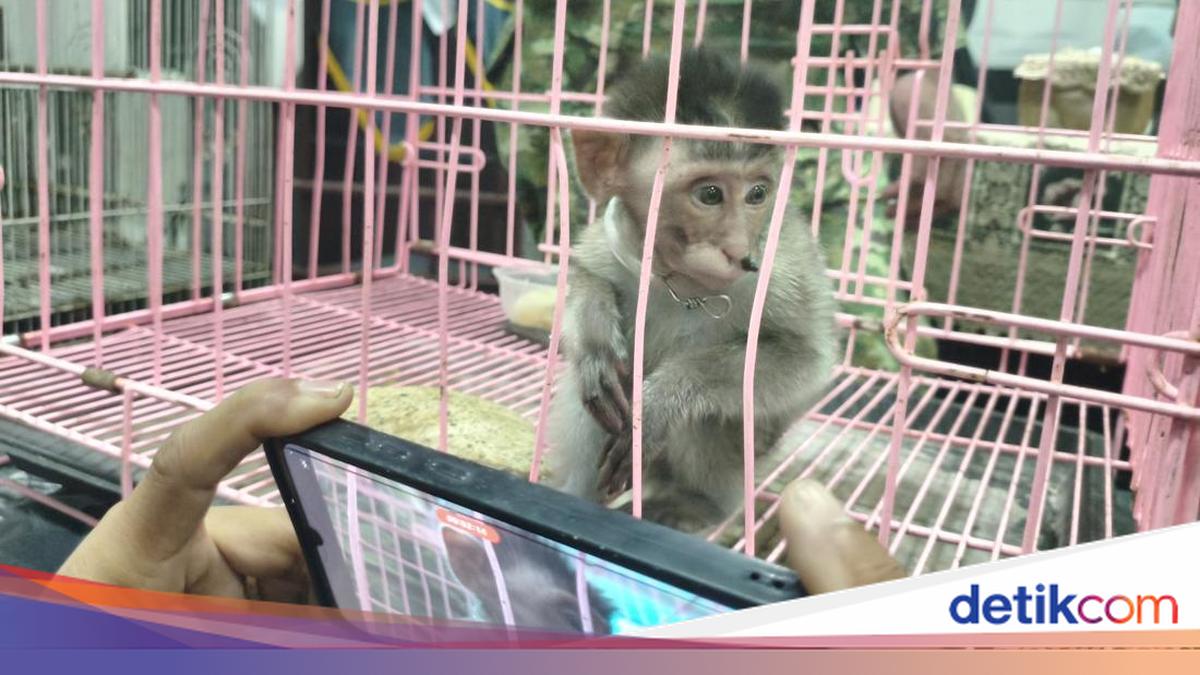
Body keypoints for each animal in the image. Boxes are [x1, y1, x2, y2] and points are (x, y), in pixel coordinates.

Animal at [542, 47, 839, 536]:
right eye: (710, 194)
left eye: (758, 193)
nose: (738, 250)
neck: (682, 281)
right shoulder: (617, 234)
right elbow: (585, 276)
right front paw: (596, 341)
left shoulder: (782, 264)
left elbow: (805, 361)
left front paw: (664, 398)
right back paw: (578, 495)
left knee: (715, 417)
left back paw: (695, 504)